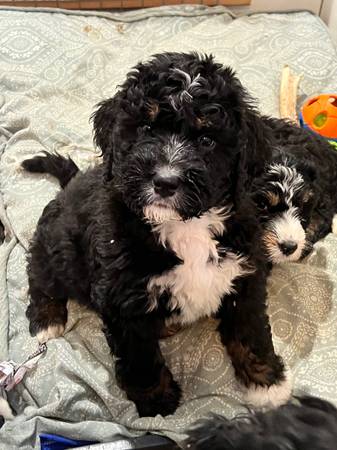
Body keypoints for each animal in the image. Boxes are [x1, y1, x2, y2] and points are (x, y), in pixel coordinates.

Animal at [21, 53, 288, 418]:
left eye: (207, 140)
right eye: (146, 129)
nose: (164, 181)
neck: (185, 225)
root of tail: (69, 185)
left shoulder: (245, 272)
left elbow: (250, 331)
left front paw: (267, 384)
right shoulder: (123, 297)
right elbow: (140, 356)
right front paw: (157, 399)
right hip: (58, 247)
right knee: (39, 273)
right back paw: (46, 319)